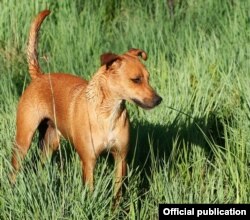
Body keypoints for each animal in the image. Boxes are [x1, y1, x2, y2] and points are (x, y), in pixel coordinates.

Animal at [10, 9, 162, 197]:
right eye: (136, 80)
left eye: (148, 78)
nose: (158, 99)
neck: (107, 113)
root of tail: (39, 76)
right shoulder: (89, 162)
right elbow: (89, 192)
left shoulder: (121, 158)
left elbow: (117, 193)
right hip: (23, 141)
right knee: (14, 170)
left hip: (50, 142)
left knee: (41, 166)